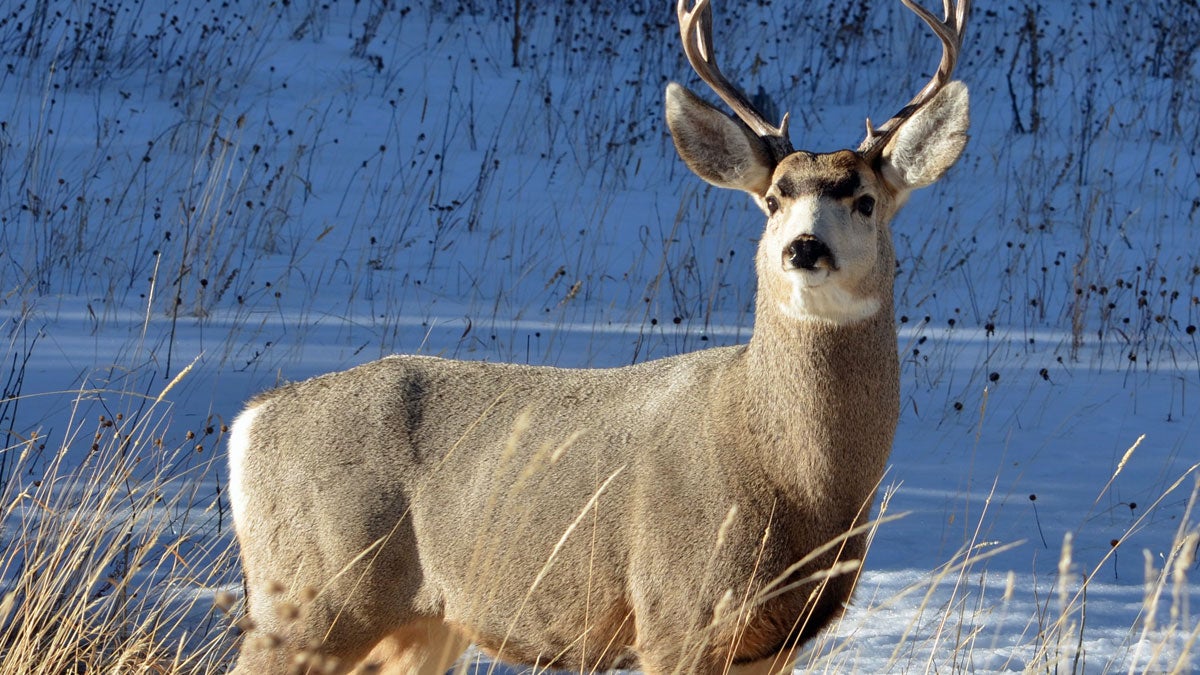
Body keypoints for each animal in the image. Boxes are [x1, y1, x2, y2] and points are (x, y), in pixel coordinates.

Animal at [229, 0, 969, 667]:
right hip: (312, 596)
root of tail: (250, 421)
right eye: (772, 199)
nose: (805, 248)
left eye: (865, 200)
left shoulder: (775, 642)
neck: (795, 484)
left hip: (423, 622)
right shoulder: (674, 610)